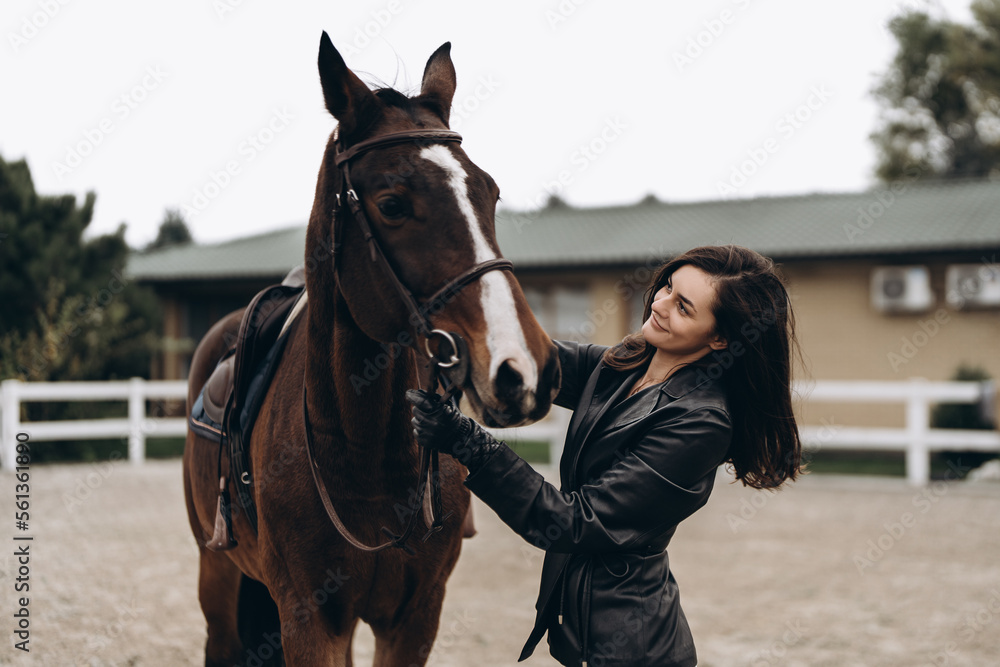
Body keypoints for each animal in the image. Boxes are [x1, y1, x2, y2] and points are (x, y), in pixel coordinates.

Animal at [182, 33, 560, 666]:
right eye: (391, 204)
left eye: (489, 192)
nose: (524, 369)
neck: (367, 453)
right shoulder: (309, 621)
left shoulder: (415, 617)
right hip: (218, 577)